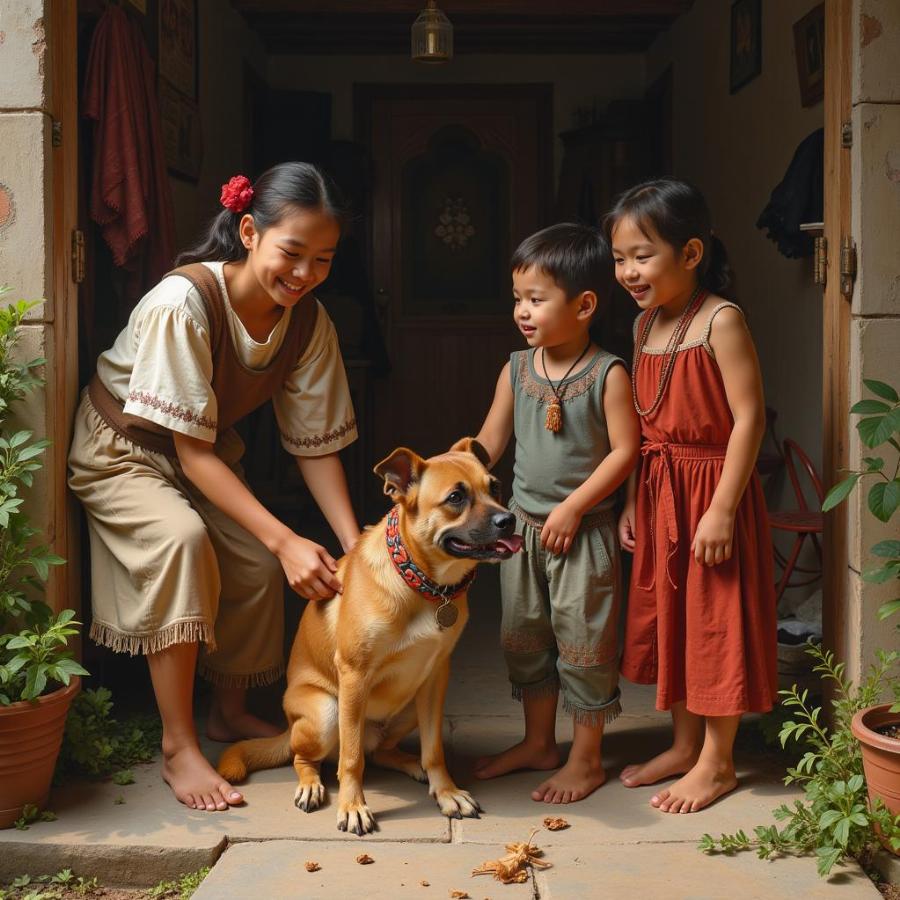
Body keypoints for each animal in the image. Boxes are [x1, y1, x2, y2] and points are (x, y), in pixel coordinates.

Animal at [217, 440, 520, 832]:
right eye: (455, 497)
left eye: (493, 486)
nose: (509, 520)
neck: (422, 584)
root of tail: (289, 726)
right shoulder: (354, 676)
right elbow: (351, 759)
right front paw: (352, 806)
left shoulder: (436, 676)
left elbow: (434, 750)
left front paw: (446, 792)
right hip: (327, 712)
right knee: (310, 757)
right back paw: (311, 785)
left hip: (411, 704)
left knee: (380, 751)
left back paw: (411, 764)